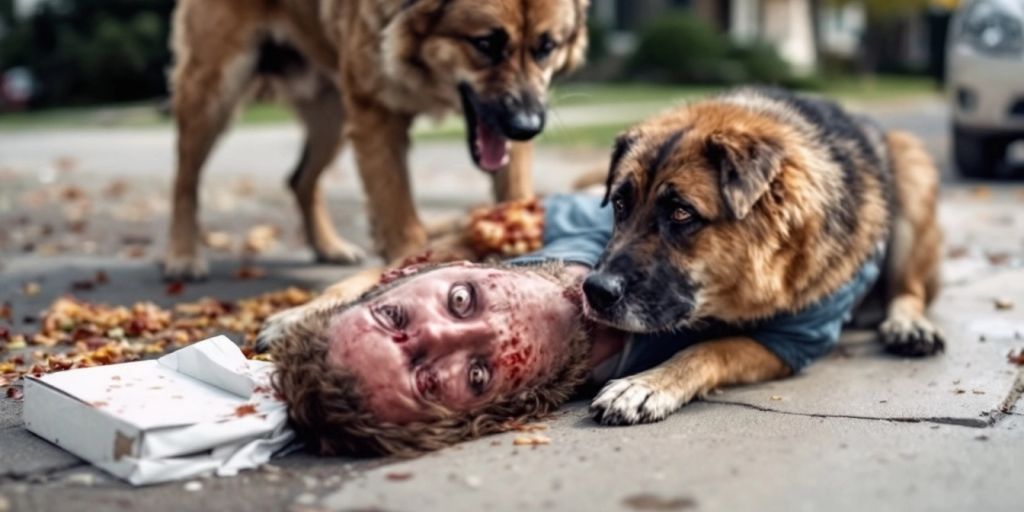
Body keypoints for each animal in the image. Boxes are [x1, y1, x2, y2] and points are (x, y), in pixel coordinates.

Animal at [163, 0, 589, 280]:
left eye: (546, 47)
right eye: (484, 44)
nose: (528, 126)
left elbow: (514, 193)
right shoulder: (375, 115)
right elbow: (397, 210)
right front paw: (414, 265)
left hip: (333, 115)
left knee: (300, 179)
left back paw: (328, 246)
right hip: (215, 89)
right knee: (185, 178)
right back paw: (182, 254)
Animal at [585, 87, 942, 423]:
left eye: (681, 213)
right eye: (619, 204)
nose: (595, 291)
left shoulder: (791, 339)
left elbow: (710, 349)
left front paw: (648, 384)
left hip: (911, 164)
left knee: (909, 290)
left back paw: (908, 325)